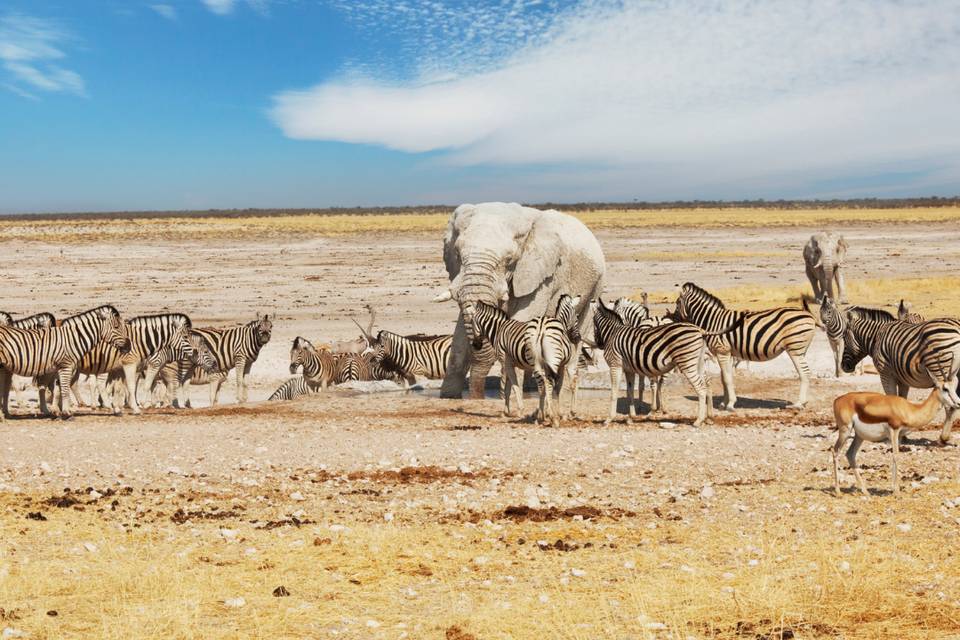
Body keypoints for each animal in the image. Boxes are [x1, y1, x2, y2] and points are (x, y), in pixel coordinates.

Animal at [0, 304, 129, 420]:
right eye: (116, 326)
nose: (129, 346)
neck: (73, 339)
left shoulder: (62, 367)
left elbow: (60, 388)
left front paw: (60, 411)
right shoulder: (66, 365)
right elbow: (65, 388)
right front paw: (67, 413)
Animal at [436, 202, 608, 398]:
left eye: (509, 259)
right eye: (457, 254)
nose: (478, 398)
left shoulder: (543, 275)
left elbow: (524, 314)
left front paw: (508, 396)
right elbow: (459, 334)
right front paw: (449, 397)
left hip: (595, 286)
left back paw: (560, 394)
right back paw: (532, 390)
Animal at [592, 298, 712, 428]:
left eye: (593, 323)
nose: (599, 344)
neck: (612, 333)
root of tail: (700, 330)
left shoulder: (615, 366)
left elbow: (614, 392)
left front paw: (609, 419)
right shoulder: (629, 370)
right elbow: (630, 391)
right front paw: (631, 417)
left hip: (687, 363)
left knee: (700, 388)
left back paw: (698, 421)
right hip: (698, 362)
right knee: (705, 384)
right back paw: (706, 418)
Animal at [672, 284, 812, 410]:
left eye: (677, 303)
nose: (674, 321)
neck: (713, 321)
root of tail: (807, 313)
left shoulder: (722, 350)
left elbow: (727, 378)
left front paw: (730, 404)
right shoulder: (727, 353)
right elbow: (724, 378)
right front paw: (723, 403)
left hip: (795, 349)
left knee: (804, 372)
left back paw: (799, 404)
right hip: (801, 350)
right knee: (805, 372)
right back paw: (803, 403)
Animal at [840, 314, 960, 442]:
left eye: (844, 339)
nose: (843, 366)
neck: (876, 337)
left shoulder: (886, 374)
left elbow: (891, 397)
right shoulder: (903, 379)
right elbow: (902, 400)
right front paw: (903, 434)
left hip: (940, 368)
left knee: (949, 404)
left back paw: (943, 437)